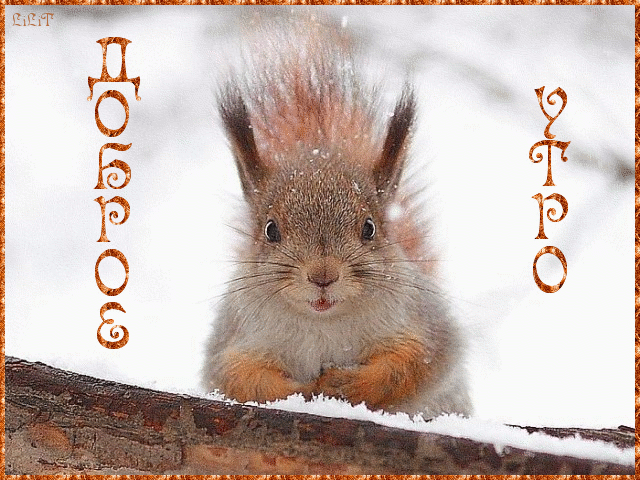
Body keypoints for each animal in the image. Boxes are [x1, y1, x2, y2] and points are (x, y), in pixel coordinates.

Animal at [201, 18, 471, 418]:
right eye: (270, 230)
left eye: (369, 228)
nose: (323, 276)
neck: (323, 322)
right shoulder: (233, 338)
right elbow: (240, 375)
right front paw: (297, 390)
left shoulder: (425, 323)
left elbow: (411, 365)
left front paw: (350, 384)